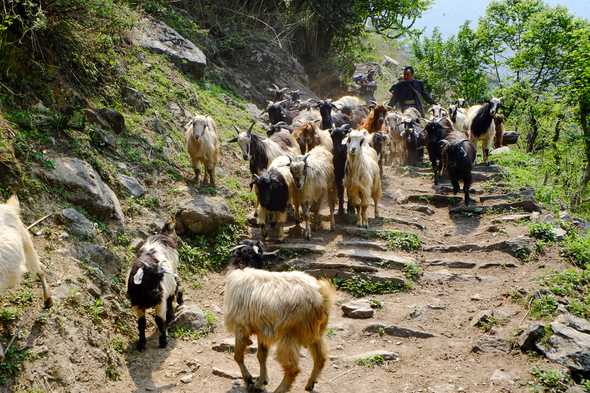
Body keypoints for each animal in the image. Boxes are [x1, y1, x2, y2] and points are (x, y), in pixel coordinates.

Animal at [128, 219, 184, 350]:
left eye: (160, 278)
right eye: (146, 279)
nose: (157, 291)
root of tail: (162, 235)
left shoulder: (160, 301)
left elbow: (159, 320)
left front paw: (163, 341)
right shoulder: (136, 304)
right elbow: (141, 323)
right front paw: (141, 344)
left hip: (174, 273)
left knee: (174, 291)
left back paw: (172, 312)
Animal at [224, 239, 336, 392]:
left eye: (244, 251)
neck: (243, 268)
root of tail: (322, 296)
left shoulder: (241, 326)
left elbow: (238, 355)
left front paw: (249, 379)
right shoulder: (262, 329)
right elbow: (261, 356)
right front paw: (261, 381)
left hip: (289, 335)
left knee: (293, 369)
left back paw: (280, 389)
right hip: (316, 333)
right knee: (321, 358)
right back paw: (310, 384)